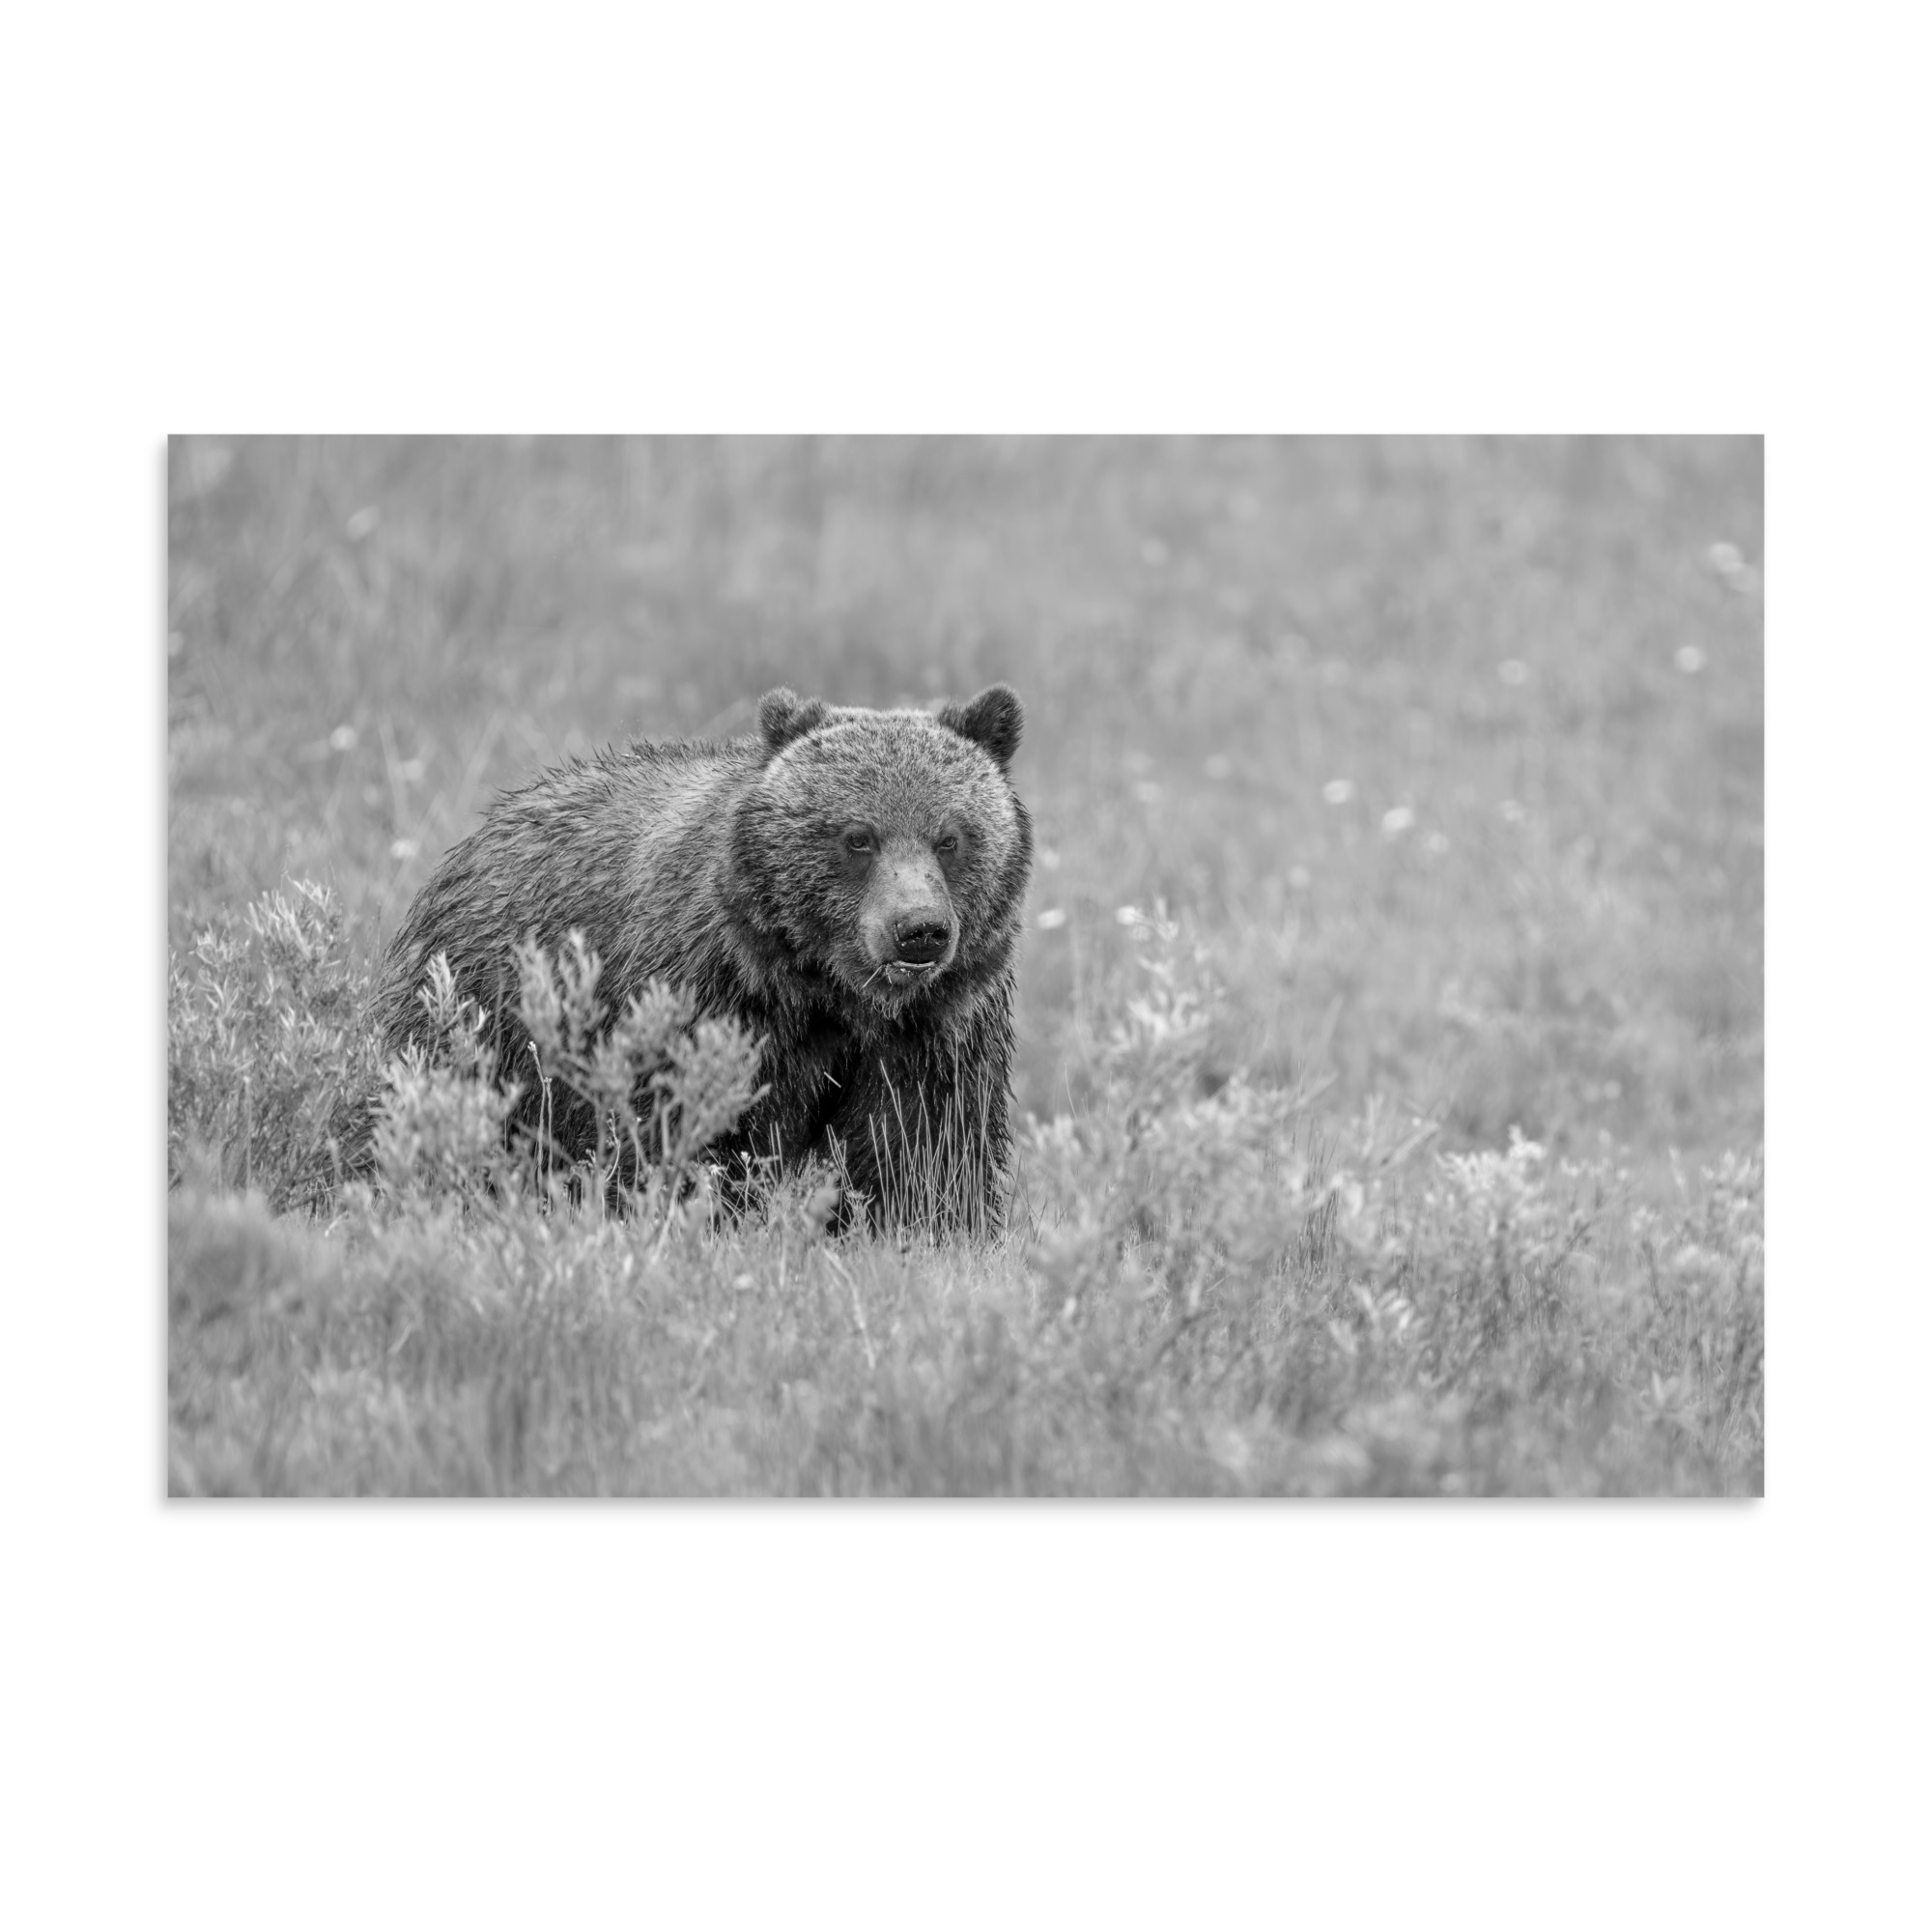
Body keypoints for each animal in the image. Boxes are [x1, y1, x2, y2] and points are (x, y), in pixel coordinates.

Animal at [363, 684, 1032, 1232]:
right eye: (857, 837)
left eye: (950, 838)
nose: (918, 930)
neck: (829, 994)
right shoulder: (709, 998)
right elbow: (686, 1131)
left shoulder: (936, 1032)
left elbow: (924, 1154)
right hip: (484, 1013)